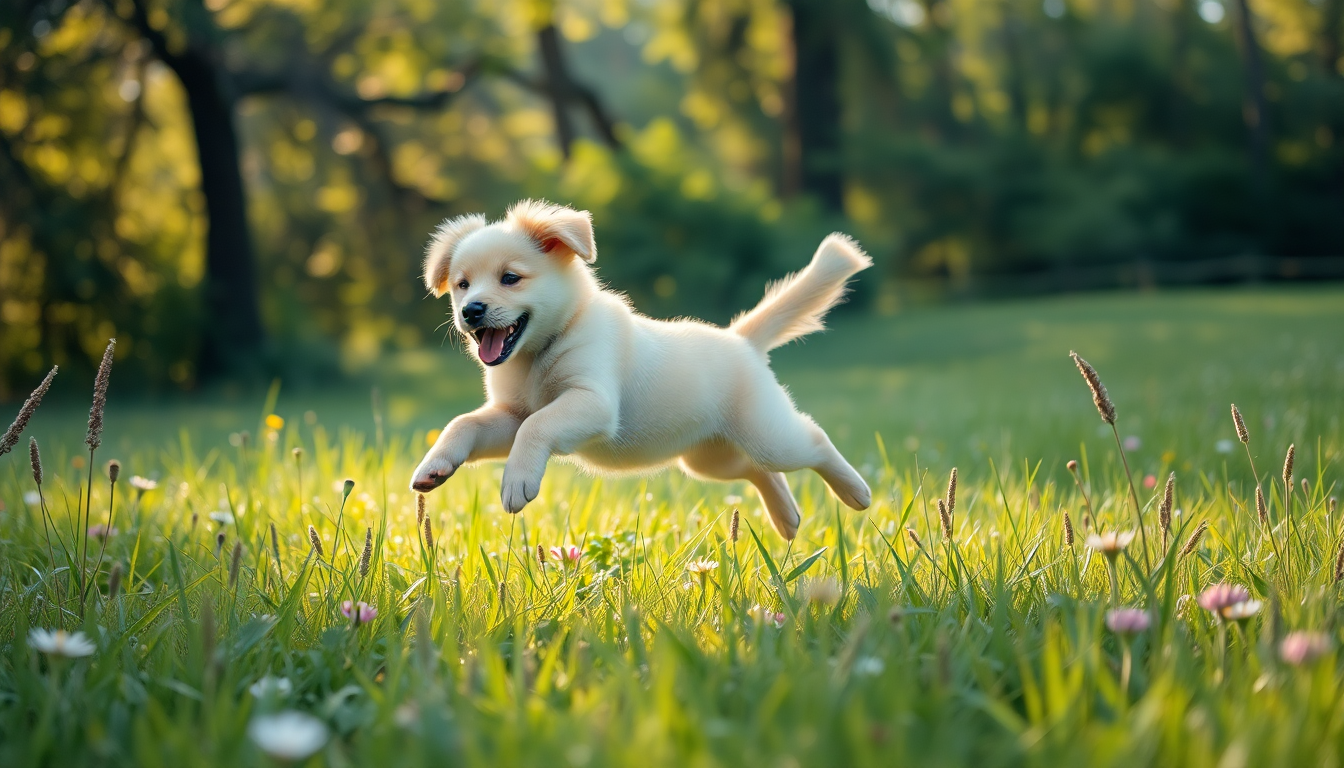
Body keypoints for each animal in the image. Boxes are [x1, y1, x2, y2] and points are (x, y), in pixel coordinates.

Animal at [408, 197, 870, 540]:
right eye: (463, 284)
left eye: (510, 278)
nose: (470, 311)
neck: (538, 353)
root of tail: (742, 341)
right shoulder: (510, 416)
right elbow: (465, 423)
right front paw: (435, 464)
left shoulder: (591, 402)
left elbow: (537, 427)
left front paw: (517, 481)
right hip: (710, 458)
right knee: (760, 471)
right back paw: (787, 518)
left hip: (767, 434)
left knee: (814, 440)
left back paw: (856, 492)